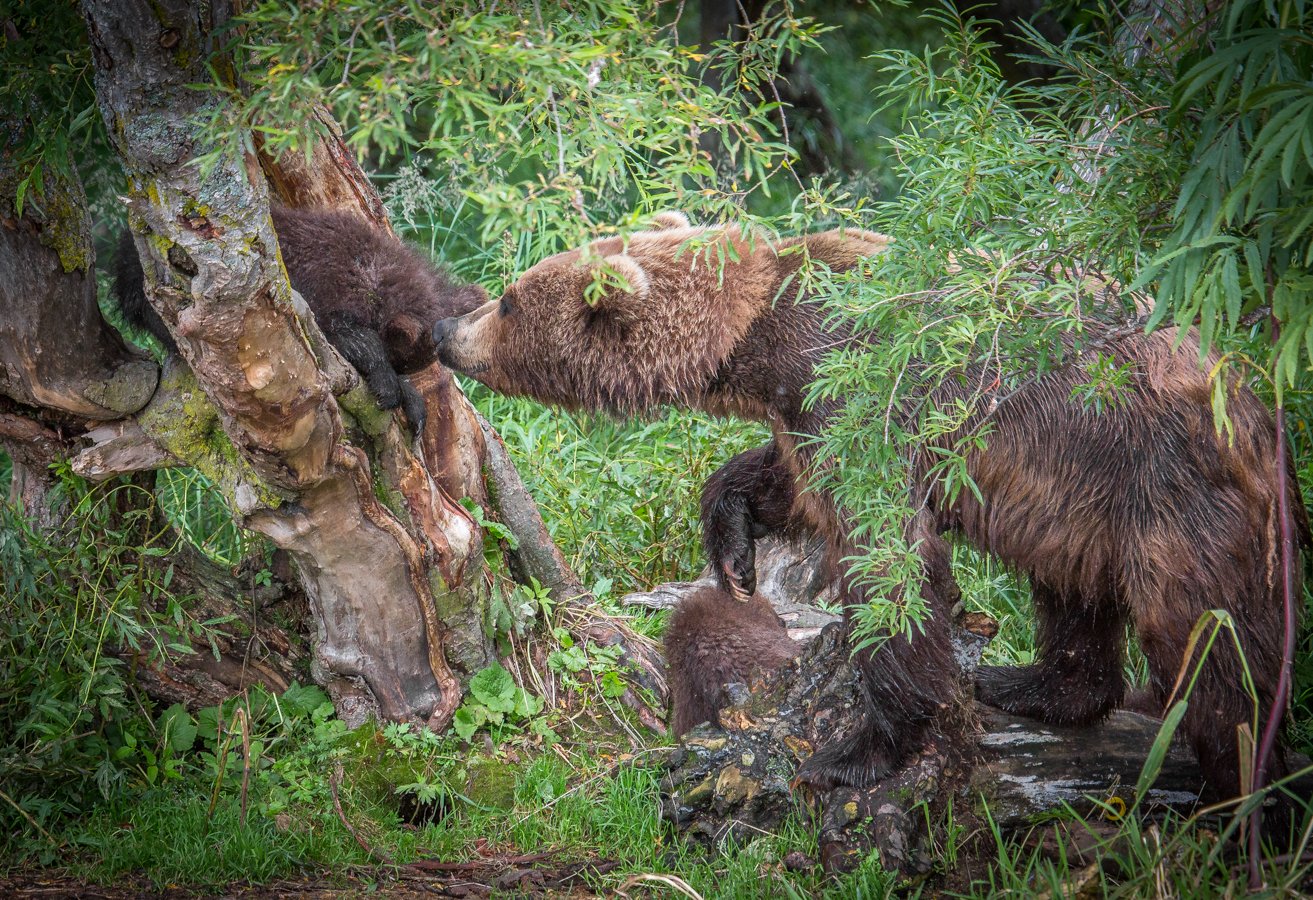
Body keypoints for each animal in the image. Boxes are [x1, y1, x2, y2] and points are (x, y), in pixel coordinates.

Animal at [433, 212, 1302, 798]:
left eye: (507, 300)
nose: (445, 328)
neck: (759, 340)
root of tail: (1255, 402)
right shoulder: (809, 409)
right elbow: (790, 483)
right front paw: (733, 545)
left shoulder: (867, 387)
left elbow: (889, 563)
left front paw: (853, 752)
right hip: (1080, 496)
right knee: (1072, 592)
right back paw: (1030, 684)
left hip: (1164, 489)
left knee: (1209, 649)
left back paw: (1236, 783)